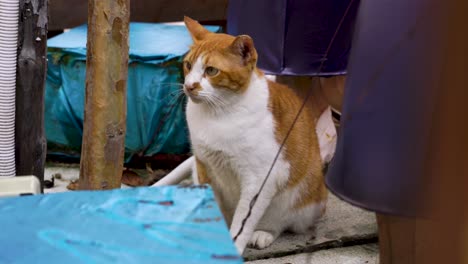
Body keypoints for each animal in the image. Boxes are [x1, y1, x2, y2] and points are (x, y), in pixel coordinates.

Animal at [181, 17, 328, 254]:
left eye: (211, 71)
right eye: (188, 65)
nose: (189, 86)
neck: (218, 115)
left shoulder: (261, 178)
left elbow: (243, 221)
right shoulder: (204, 166)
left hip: (301, 200)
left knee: (281, 223)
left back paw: (263, 234)